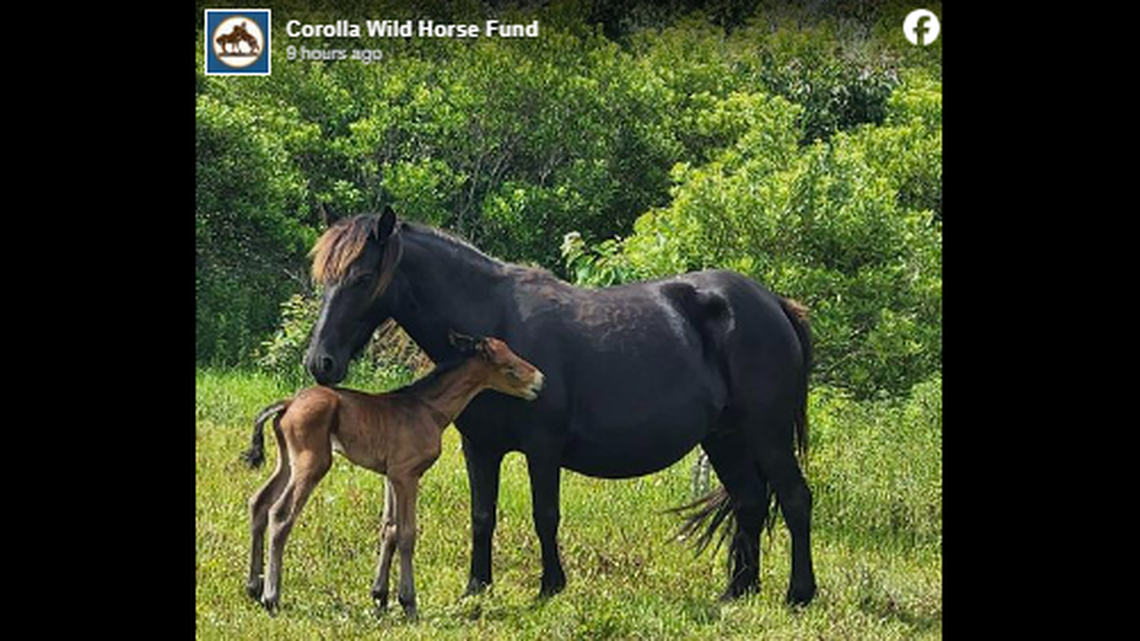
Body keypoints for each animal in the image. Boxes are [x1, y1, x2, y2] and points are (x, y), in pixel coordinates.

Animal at [242, 331, 545, 617]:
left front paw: (380, 597)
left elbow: (388, 528)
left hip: (287, 461)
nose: (539, 380)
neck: (428, 409)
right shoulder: (407, 475)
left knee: (259, 502)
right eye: (508, 366)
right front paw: (408, 602)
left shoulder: (390, 475)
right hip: (312, 463)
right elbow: (407, 533)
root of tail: (288, 403)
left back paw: (253, 587)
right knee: (281, 514)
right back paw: (271, 597)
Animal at [304, 207, 817, 605]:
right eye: (323, 281)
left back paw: (798, 593)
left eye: (362, 278)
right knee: (750, 500)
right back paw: (737, 591)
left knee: (794, 498)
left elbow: (545, 514)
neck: (494, 316)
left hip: (767, 435)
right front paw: (476, 587)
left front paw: (550, 586)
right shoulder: (479, 448)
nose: (320, 362)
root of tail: (774, 303)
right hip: (725, 438)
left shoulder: (543, 446)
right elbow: (482, 516)